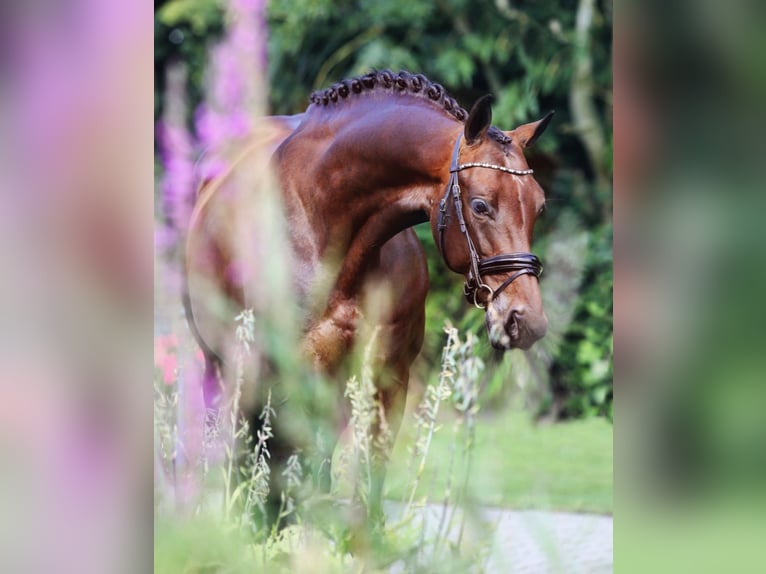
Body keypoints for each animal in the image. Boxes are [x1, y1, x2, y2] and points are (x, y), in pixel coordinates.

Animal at [184, 71, 556, 528]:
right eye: (481, 205)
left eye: (539, 206)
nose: (527, 320)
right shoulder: (283, 377)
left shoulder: (388, 381)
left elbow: (365, 478)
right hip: (223, 368)